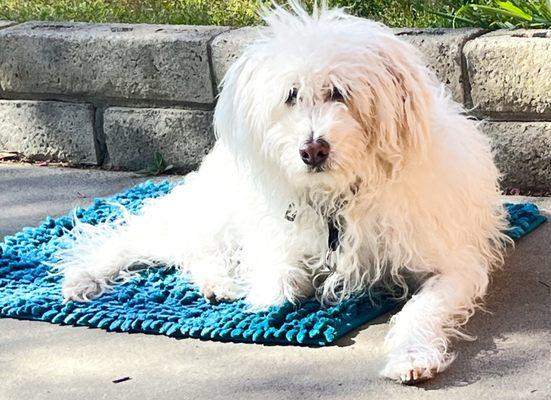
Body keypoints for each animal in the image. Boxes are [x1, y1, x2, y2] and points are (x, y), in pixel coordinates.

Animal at [58, 2, 512, 384]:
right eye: (291, 96)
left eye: (339, 93)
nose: (312, 150)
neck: (342, 195)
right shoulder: (277, 236)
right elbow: (277, 274)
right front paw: (269, 293)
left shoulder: (451, 265)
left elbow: (421, 310)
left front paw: (411, 356)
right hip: (216, 210)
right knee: (155, 240)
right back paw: (88, 276)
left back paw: (215, 283)